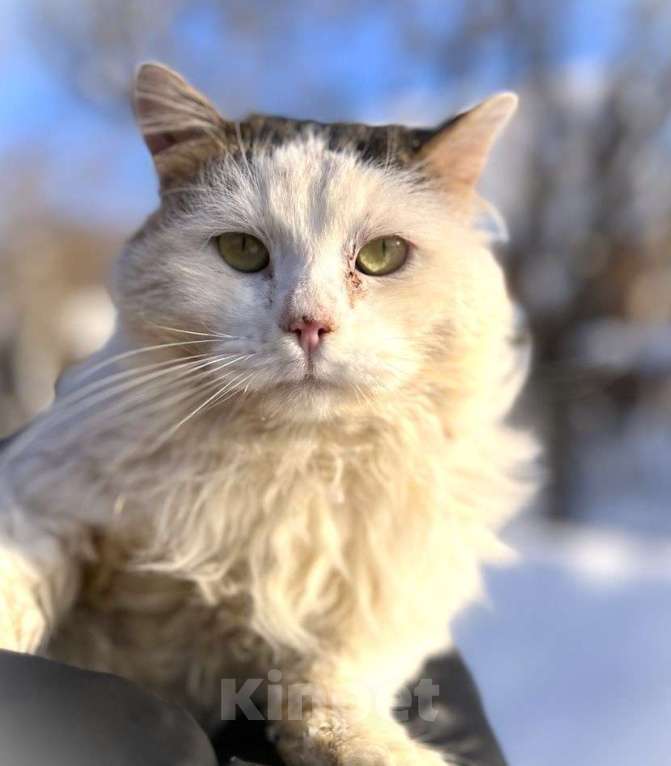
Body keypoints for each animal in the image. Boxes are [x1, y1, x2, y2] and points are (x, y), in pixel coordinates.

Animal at [0, 63, 536, 764]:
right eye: (241, 251)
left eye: (382, 256)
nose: (309, 324)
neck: (285, 468)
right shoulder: (44, 497)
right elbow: (21, 578)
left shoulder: (389, 606)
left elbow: (325, 685)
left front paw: (381, 749)